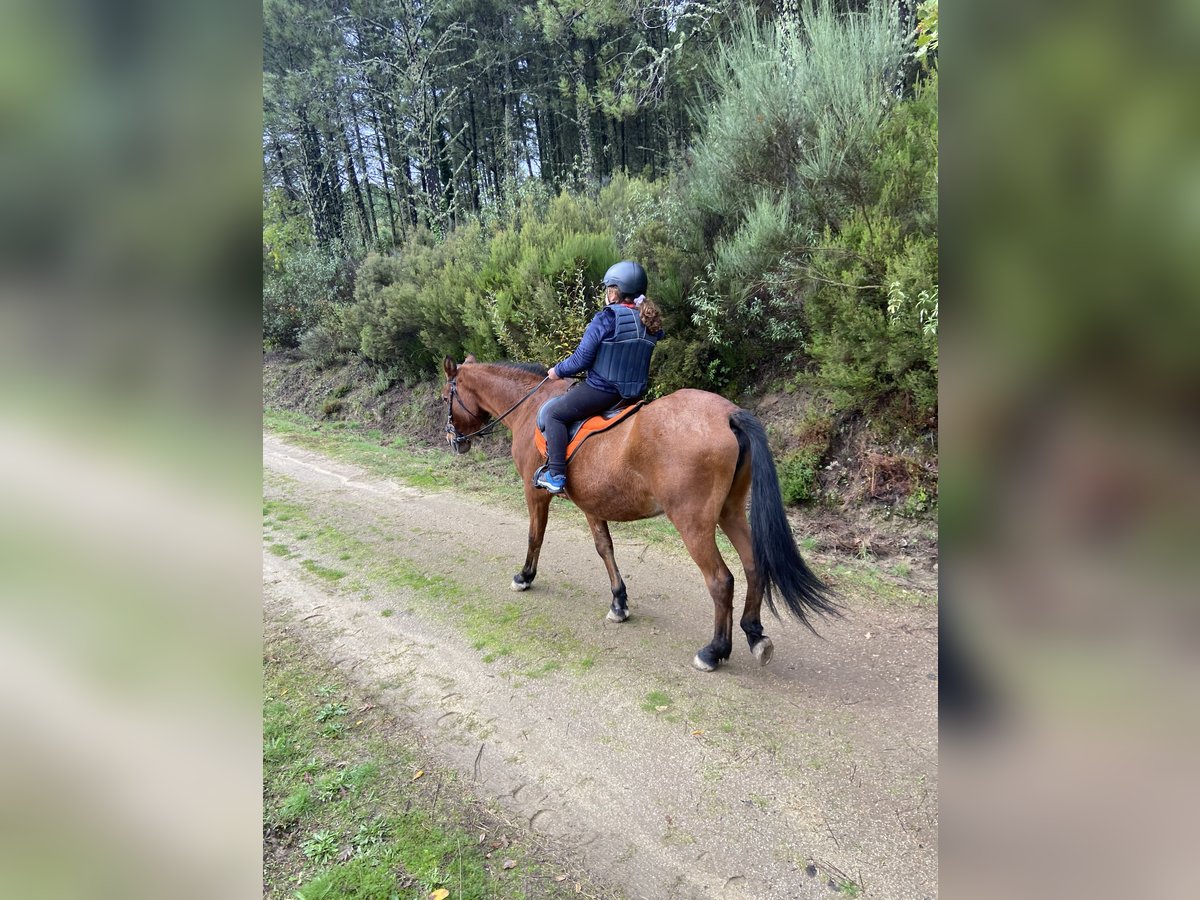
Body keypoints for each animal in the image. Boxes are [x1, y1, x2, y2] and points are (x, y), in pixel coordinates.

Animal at [436, 355, 840, 672]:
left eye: (445, 396)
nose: (453, 441)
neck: (530, 406)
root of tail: (728, 414)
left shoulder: (535, 495)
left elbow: (536, 535)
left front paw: (525, 576)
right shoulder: (592, 505)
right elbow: (605, 549)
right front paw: (619, 602)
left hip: (693, 524)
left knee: (721, 580)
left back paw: (714, 651)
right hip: (730, 512)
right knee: (753, 564)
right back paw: (754, 634)